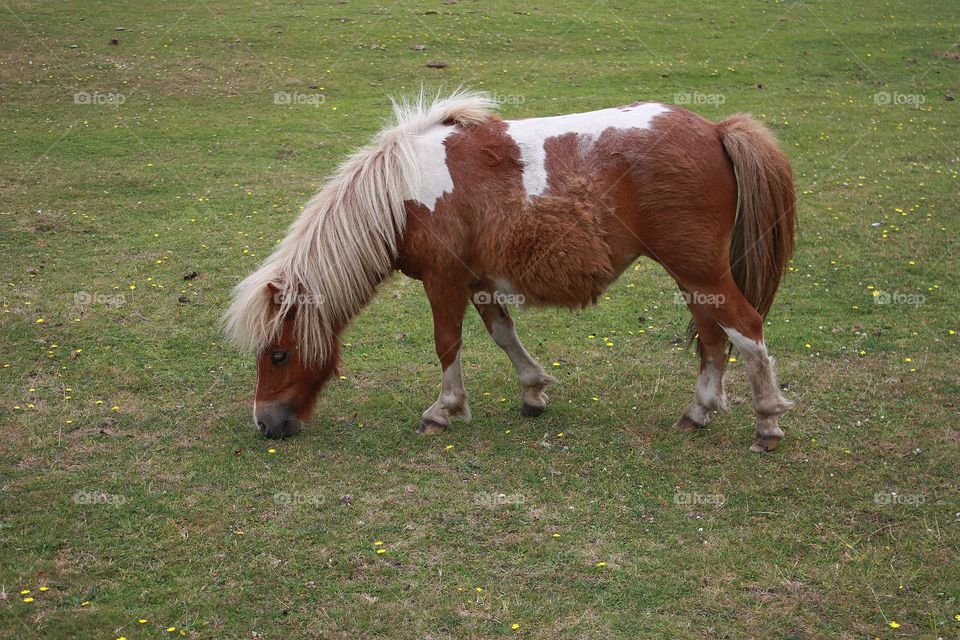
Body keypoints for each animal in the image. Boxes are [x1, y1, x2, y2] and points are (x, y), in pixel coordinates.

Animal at [223, 90, 796, 452]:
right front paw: (533, 391)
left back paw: (767, 423)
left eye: (278, 354)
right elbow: (504, 335)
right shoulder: (478, 282)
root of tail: (715, 129)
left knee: (745, 330)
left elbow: (447, 344)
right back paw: (697, 412)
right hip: (693, 277)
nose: (265, 424)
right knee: (713, 338)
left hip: (700, 272)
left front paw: (443, 410)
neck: (401, 193)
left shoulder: (443, 280)